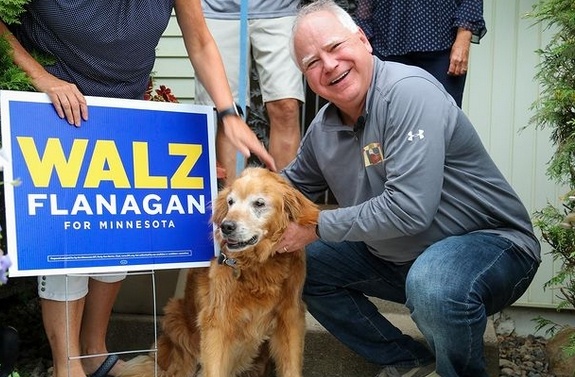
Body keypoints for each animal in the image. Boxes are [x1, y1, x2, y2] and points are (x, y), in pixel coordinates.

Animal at [120, 167, 322, 376]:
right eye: (230, 202)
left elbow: (291, 366)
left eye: (259, 203)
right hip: (176, 320)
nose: (226, 226)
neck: (257, 265)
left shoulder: (290, 315)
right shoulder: (218, 321)